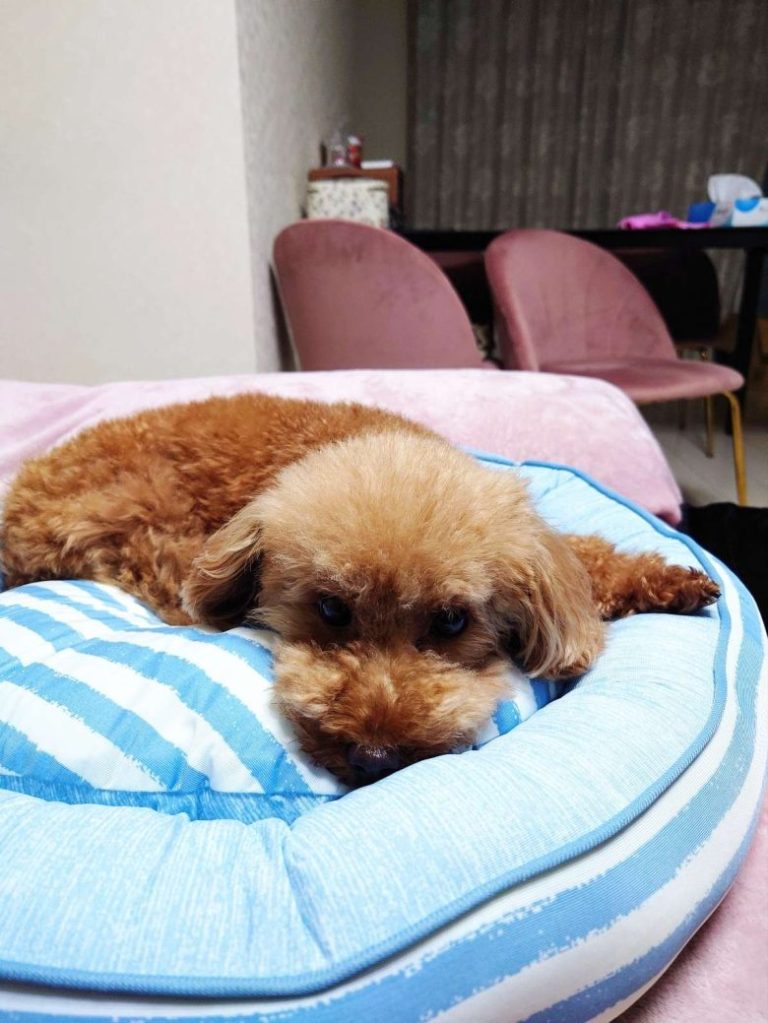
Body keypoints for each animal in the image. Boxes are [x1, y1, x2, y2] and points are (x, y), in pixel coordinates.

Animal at [1, 392, 718, 785]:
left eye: (452, 621)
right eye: (330, 608)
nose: (374, 756)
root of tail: (20, 491)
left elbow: (589, 556)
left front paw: (675, 580)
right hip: (135, 515)